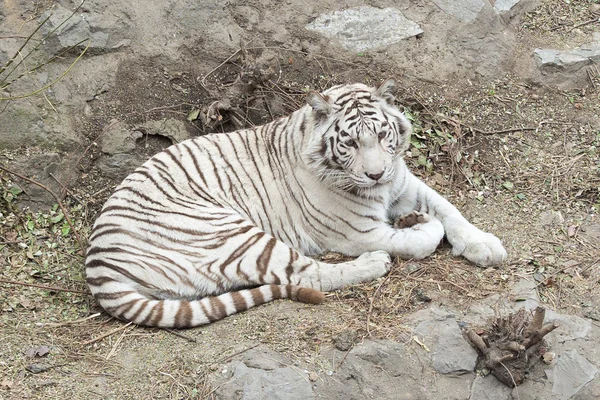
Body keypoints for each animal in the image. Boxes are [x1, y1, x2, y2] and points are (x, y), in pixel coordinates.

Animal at [84, 79, 506, 328]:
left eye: (383, 135)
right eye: (350, 142)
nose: (375, 175)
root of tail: (97, 262)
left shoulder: (404, 183)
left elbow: (449, 209)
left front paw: (484, 245)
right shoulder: (358, 229)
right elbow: (420, 238)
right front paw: (416, 224)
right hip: (229, 231)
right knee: (306, 273)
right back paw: (373, 263)